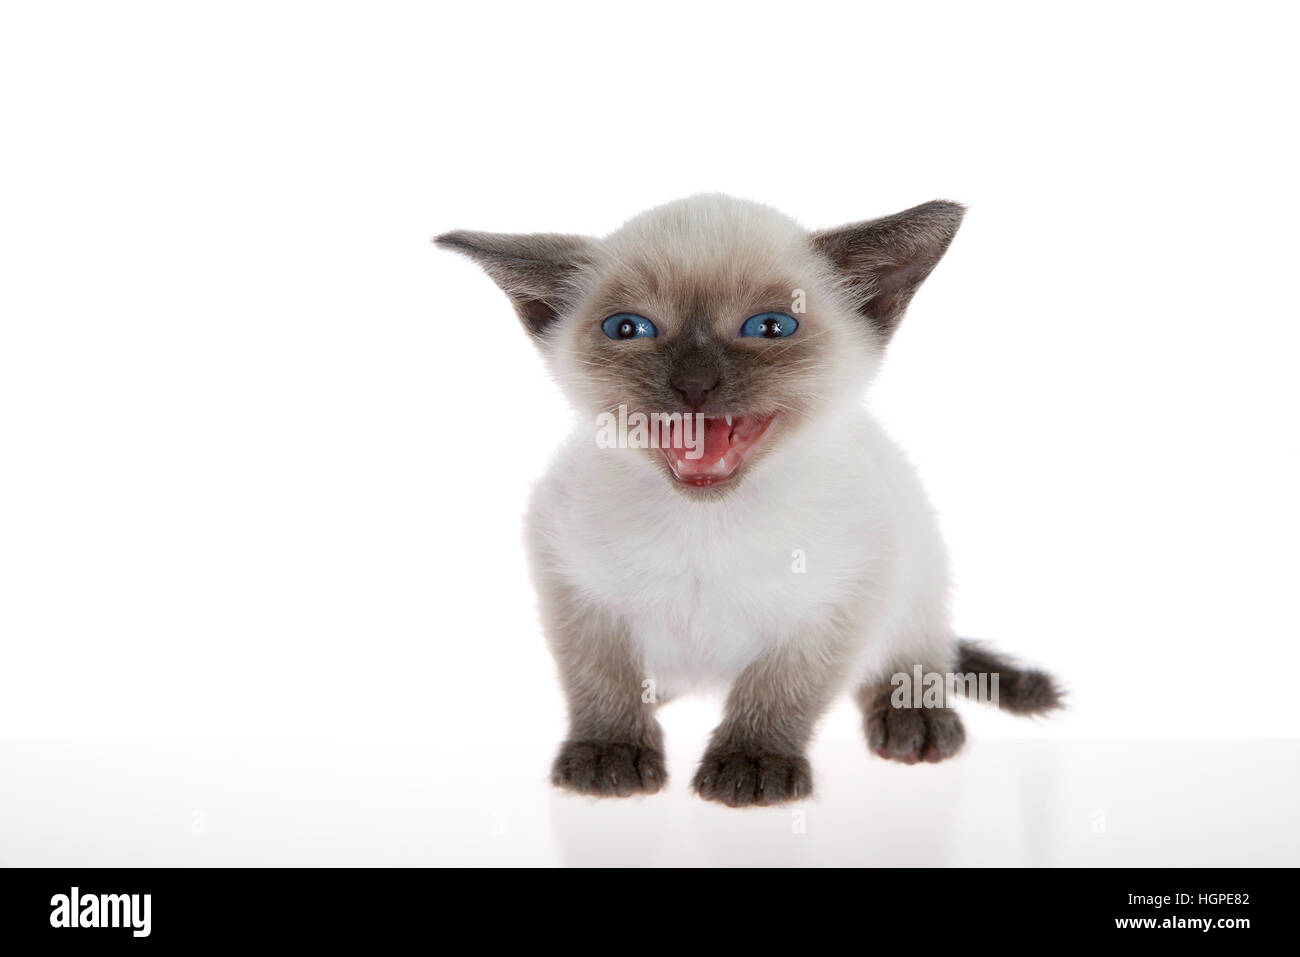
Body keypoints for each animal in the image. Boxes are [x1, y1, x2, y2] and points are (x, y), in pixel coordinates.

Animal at [436, 196, 1055, 806]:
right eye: (628, 328)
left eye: (770, 327)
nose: (694, 385)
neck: (704, 522)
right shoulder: (575, 587)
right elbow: (601, 679)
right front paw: (610, 753)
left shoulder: (838, 601)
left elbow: (782, 690)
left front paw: (753, 764)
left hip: (917, 564)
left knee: (917, 655)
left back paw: (915, 721)